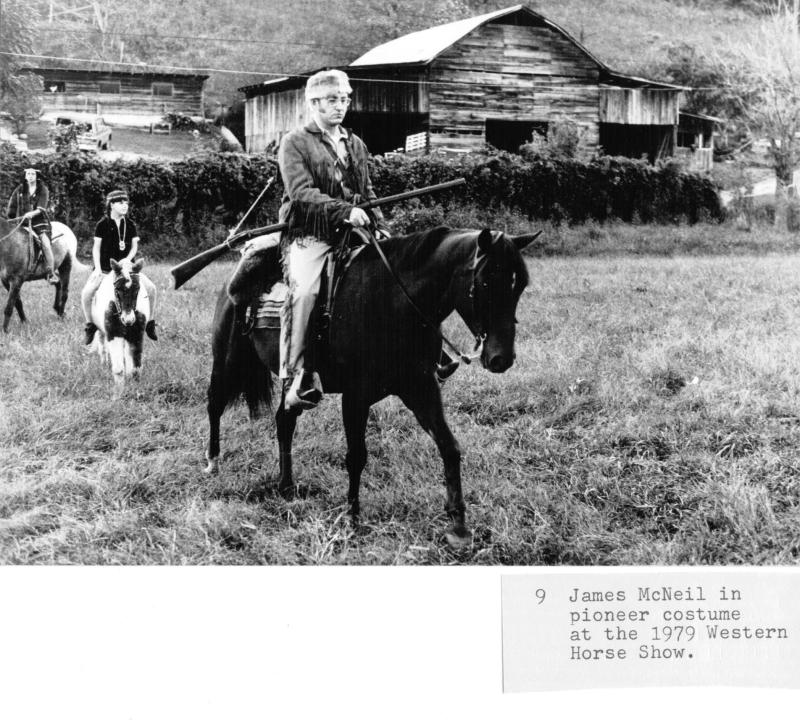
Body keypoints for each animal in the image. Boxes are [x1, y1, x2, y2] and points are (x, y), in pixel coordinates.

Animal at [88, 256, 152, 386]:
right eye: (117, 289)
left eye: (137, 288)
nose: (128, 320)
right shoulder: (113, 335)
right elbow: (118, 369)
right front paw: (120, 389)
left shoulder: (136, 335)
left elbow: (136, 366)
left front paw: (135, 385)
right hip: (102, 331)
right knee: (103, 347)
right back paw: (104, 365)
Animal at [205, 225, 536, 544]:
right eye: (485, 282)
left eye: (520, 285)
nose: (501, 358)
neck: (392, 302)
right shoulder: (355, 396)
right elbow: (356, 457)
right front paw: (352, 519)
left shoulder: (420, 387)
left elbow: (449, 447)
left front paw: (458, 527)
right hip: (226, 362)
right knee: (215, 406)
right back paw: (213, 464)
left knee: (284, 421)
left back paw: (286, 486)